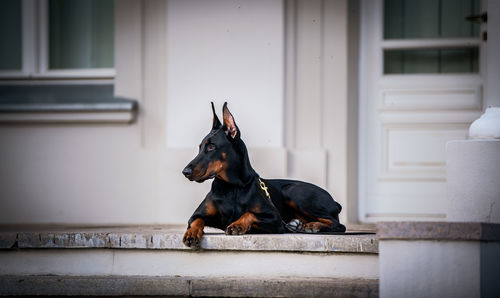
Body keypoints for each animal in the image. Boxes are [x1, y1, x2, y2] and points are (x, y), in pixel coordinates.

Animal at [182, 103, 346, 248]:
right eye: (199, 147)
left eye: (211, 146)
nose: (185, 172)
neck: (231, 187)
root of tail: (335, 202)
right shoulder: (197, 214)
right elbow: (196, 221)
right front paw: (191, 234)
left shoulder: (275, 219)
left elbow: (249, 213)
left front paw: (237, 224)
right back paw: (300, 225)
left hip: (294, 191)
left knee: (339, 225)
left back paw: (313, 225)